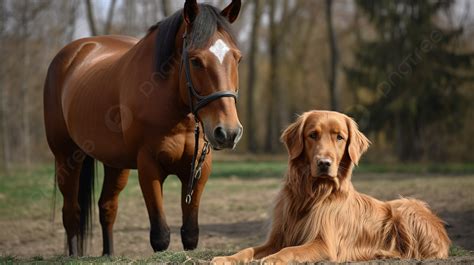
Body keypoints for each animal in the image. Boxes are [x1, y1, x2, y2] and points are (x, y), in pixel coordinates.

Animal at [44, 0, 243, 256]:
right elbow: (160, 236)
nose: (228, 132)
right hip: (66, 157)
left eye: (237, 58)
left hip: (115, 164)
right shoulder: (149, 166)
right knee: (71, 213)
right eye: (195, 60)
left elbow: (190, 234)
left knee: (107, 207)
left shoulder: (200, 168)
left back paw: (109, 254)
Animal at [213, 109, 450, 262]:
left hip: (404, 206)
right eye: (312, 135)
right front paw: (227, 257)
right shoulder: (277, 237)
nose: (324, 163)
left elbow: (291, 250)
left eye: (339, 137)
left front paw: (274, 259)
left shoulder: (324, 243)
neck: (311, 193)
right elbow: (248, 249)